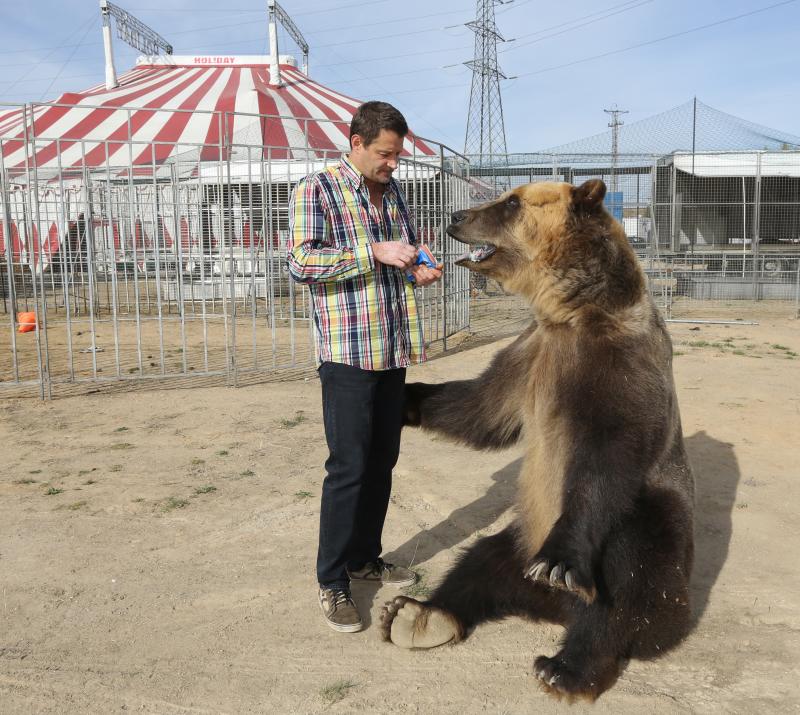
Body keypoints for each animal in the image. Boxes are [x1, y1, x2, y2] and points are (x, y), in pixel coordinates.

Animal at [380, 178, 692, 700]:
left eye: (509, 202)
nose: (455, 216)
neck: (574, 312)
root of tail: (557, 609)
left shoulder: (618, 366)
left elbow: (609, 454)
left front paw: (559, 563)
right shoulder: (531, 356)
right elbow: (481, 407)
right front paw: (403, 395)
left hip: (649, 522)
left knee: (626, 584)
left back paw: (565, 665)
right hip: (524, 532)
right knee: (482, 561)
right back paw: (416, 614)